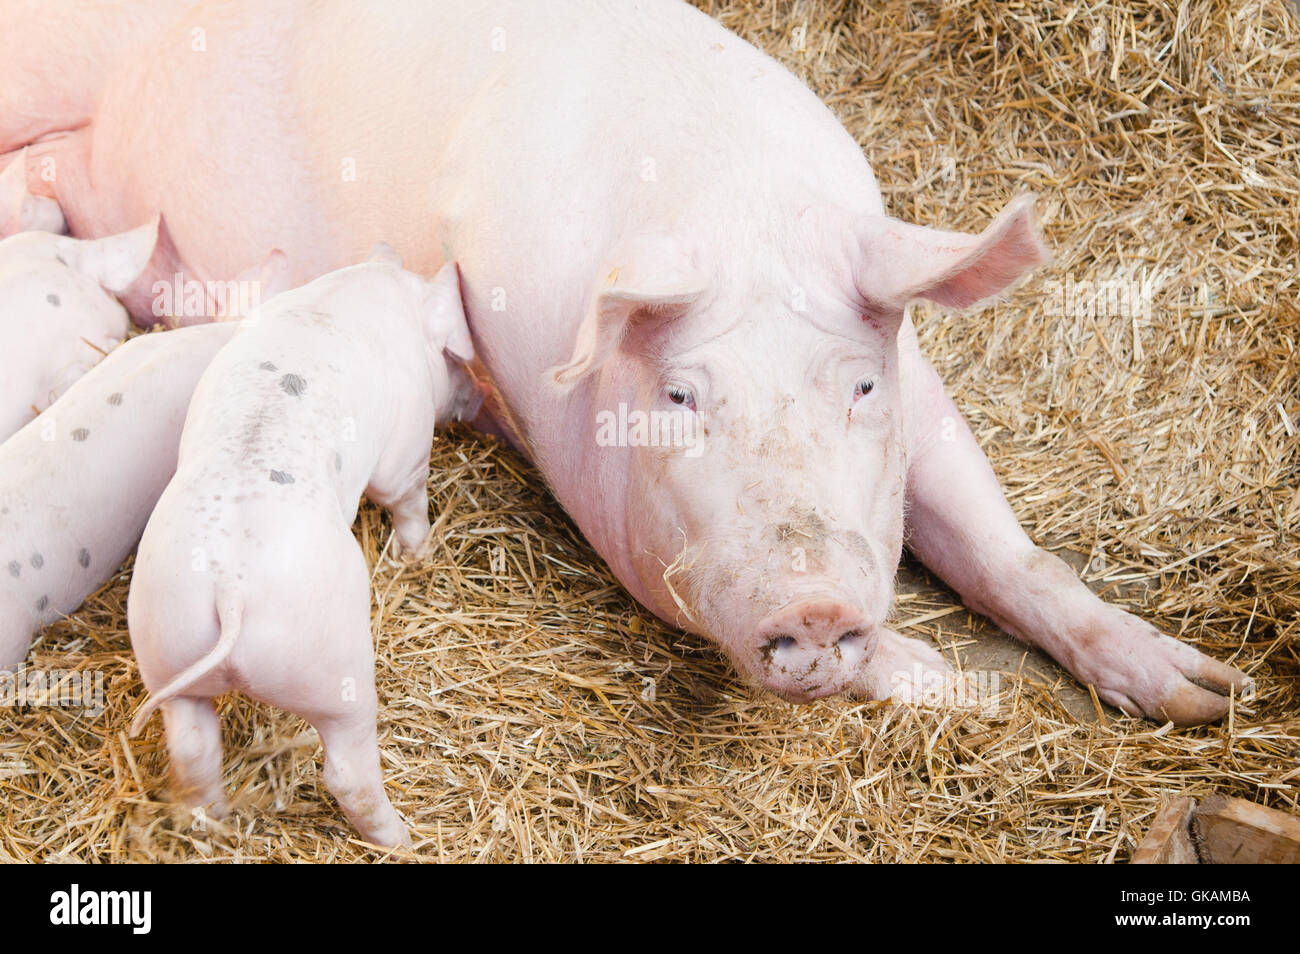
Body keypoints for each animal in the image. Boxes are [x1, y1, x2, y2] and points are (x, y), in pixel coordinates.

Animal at [5, 0, 1253, 722]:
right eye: (681, 394)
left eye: (857, 385)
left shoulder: (919, 381)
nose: (812, 604)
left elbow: (1002, 548)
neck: (734, 209)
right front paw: (960, 691)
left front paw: (1205, 697)